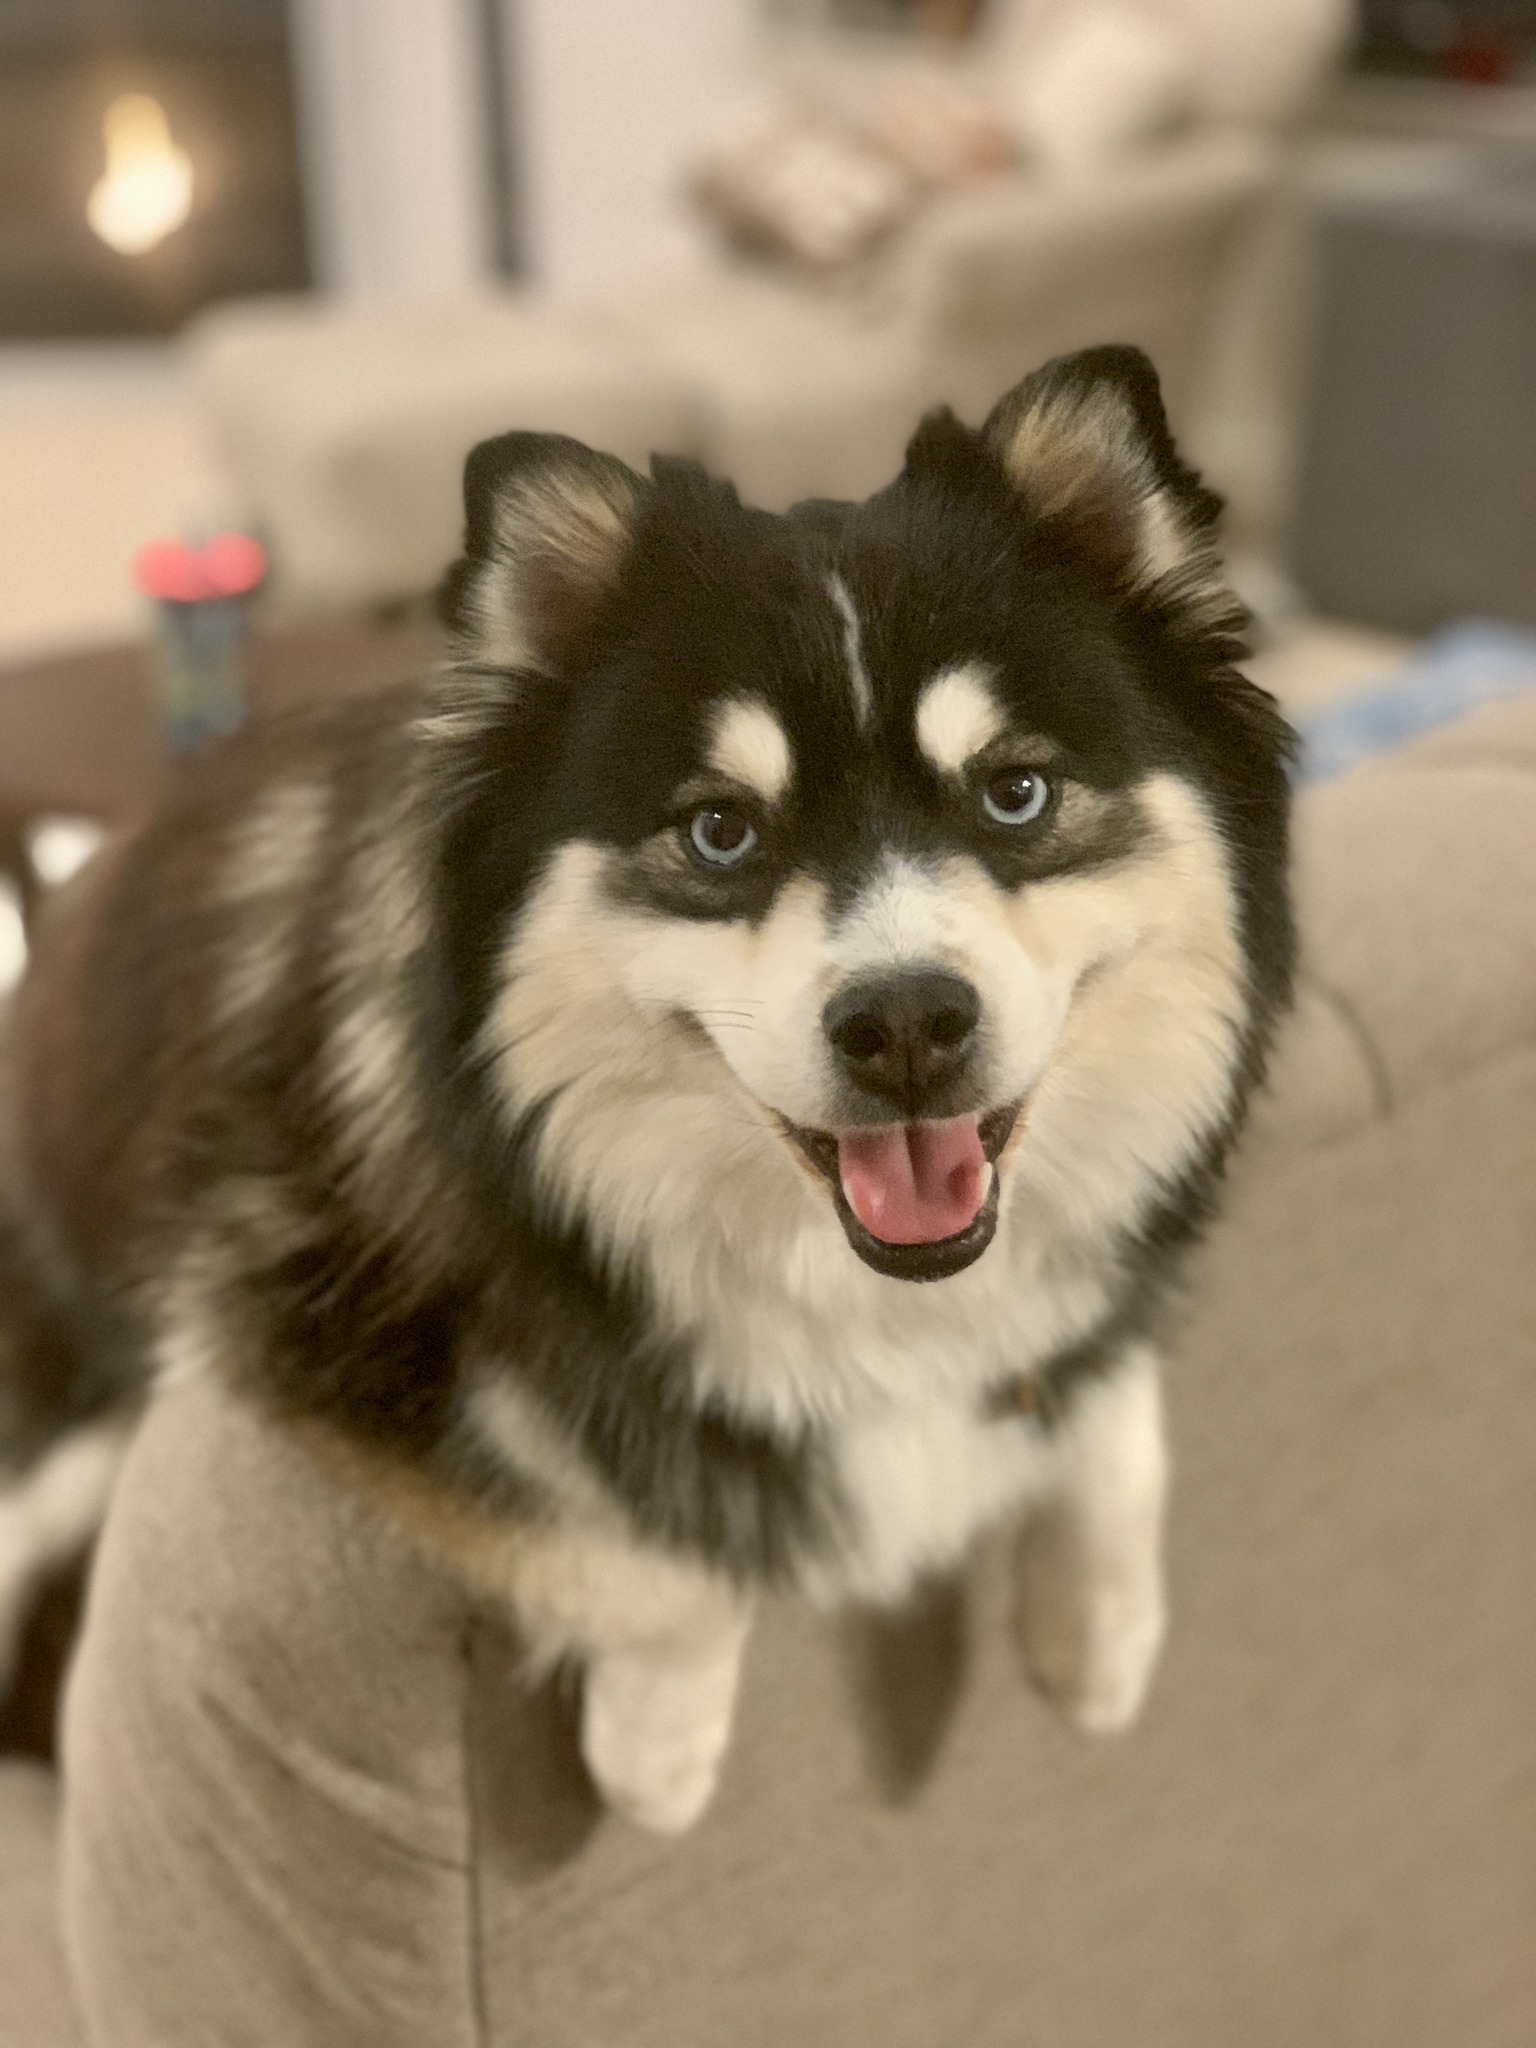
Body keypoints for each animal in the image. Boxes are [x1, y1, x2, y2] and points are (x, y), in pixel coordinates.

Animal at [0, 348, 1302, 1826]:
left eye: (1015, 793)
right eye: (720, 831)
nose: (907, 1023)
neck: (867, 1292)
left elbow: (1107, 1382)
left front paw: (1104, 1631)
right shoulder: (267, 1293)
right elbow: (646, 1556)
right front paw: (660, 1753)